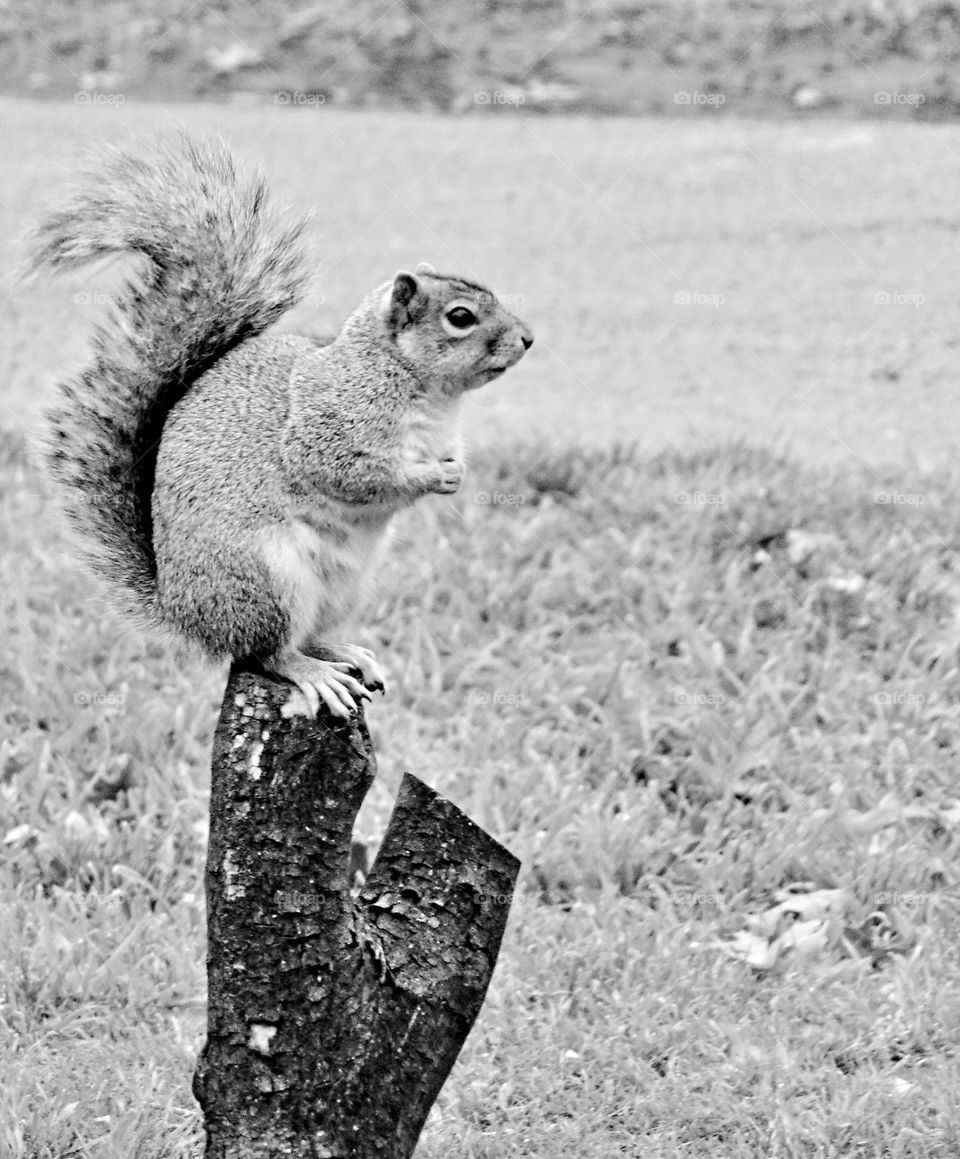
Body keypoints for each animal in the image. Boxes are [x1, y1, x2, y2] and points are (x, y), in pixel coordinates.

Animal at [31, 135, 533, 719]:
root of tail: (183, 613)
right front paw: (431, 478)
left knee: (305, 636)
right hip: (265, 580)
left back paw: (342, 652)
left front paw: (457, 471)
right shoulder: (328, 426)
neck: (425, 390)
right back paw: (312, 672)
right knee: (266, 652)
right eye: (460, 317)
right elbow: (351, 475)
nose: (528, 339)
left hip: (342, 585)